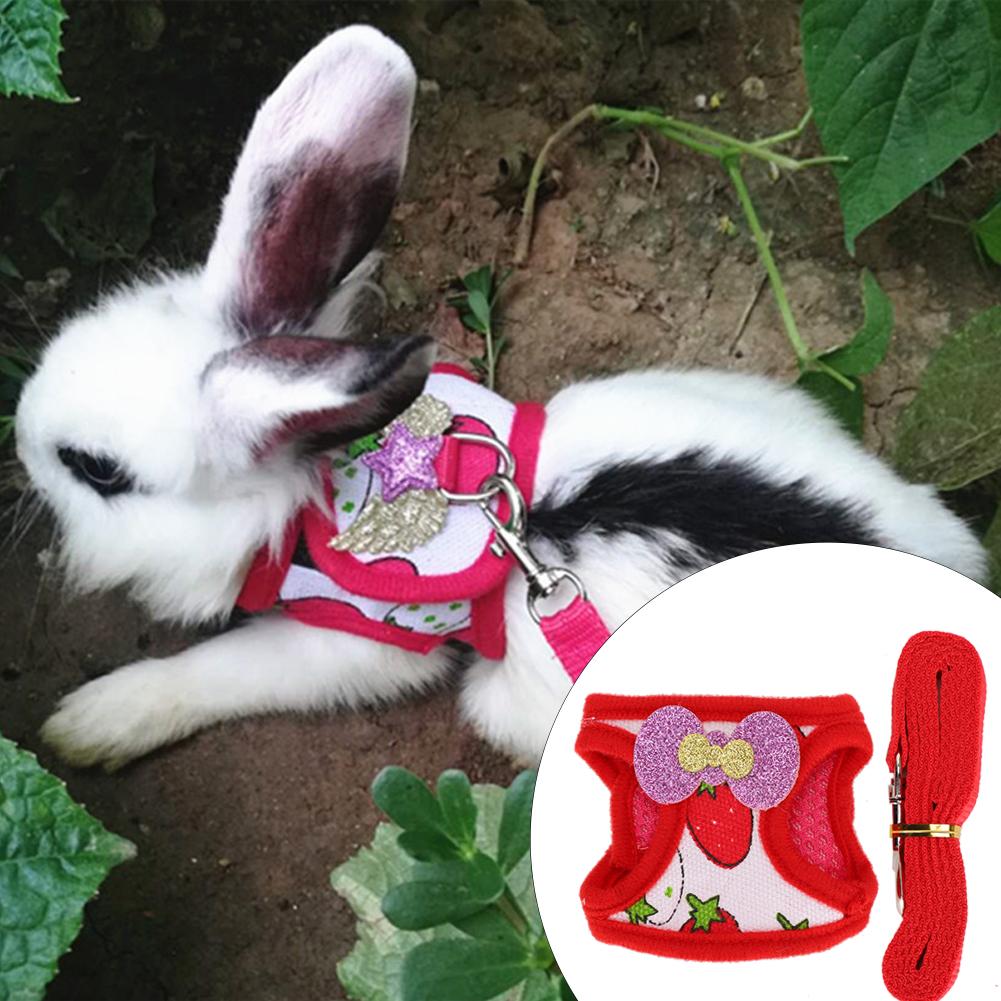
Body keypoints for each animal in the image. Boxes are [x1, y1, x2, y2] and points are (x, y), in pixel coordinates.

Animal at [15, 25, 986, 772]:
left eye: (98, 471)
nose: (19, 435)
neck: (325, 487)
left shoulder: (359, 638)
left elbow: (225, 668)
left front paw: (87, 724)